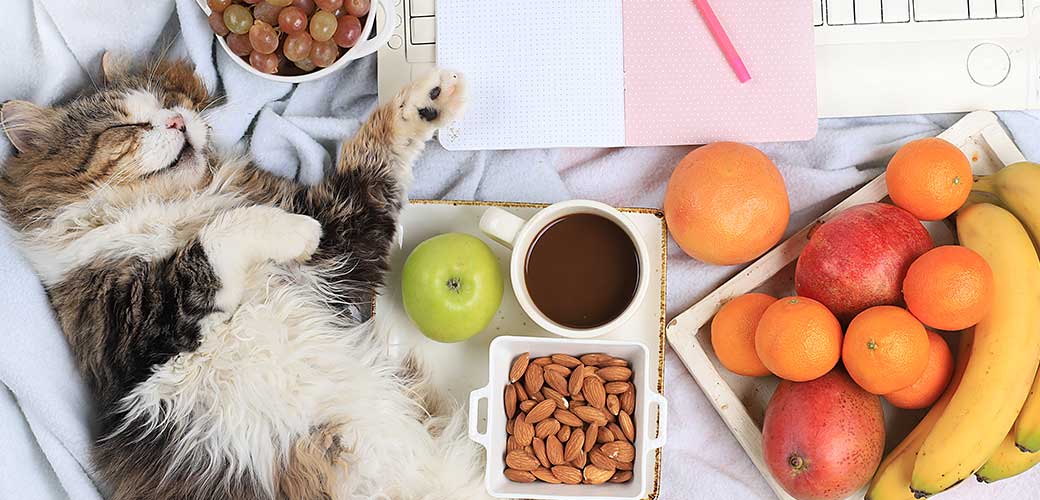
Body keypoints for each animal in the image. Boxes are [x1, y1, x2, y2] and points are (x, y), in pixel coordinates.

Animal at [1, 56, 490, 496]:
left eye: (170, 100)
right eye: (126, 127)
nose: (177, 121)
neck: (175, 209)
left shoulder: (343, 243)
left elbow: (375, 157)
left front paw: (430, 99)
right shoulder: (132, 333)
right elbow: (218, 236)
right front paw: (294, 231)